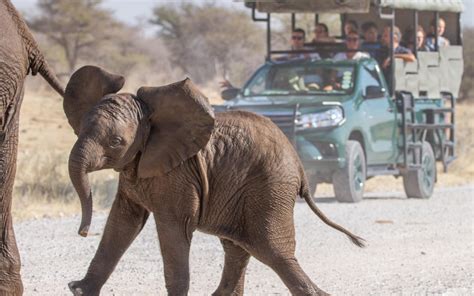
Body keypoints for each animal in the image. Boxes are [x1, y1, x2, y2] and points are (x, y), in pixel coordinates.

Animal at [65, 66, 364, 294]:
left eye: (116, 142)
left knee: (273, 250)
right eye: (80, 129)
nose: (83, 232)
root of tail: (300, 168)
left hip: (270, 187)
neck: (152, 120)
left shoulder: (179, 175)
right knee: (238, 248)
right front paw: (79, 290)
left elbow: (173, 230)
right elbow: (122, 223)